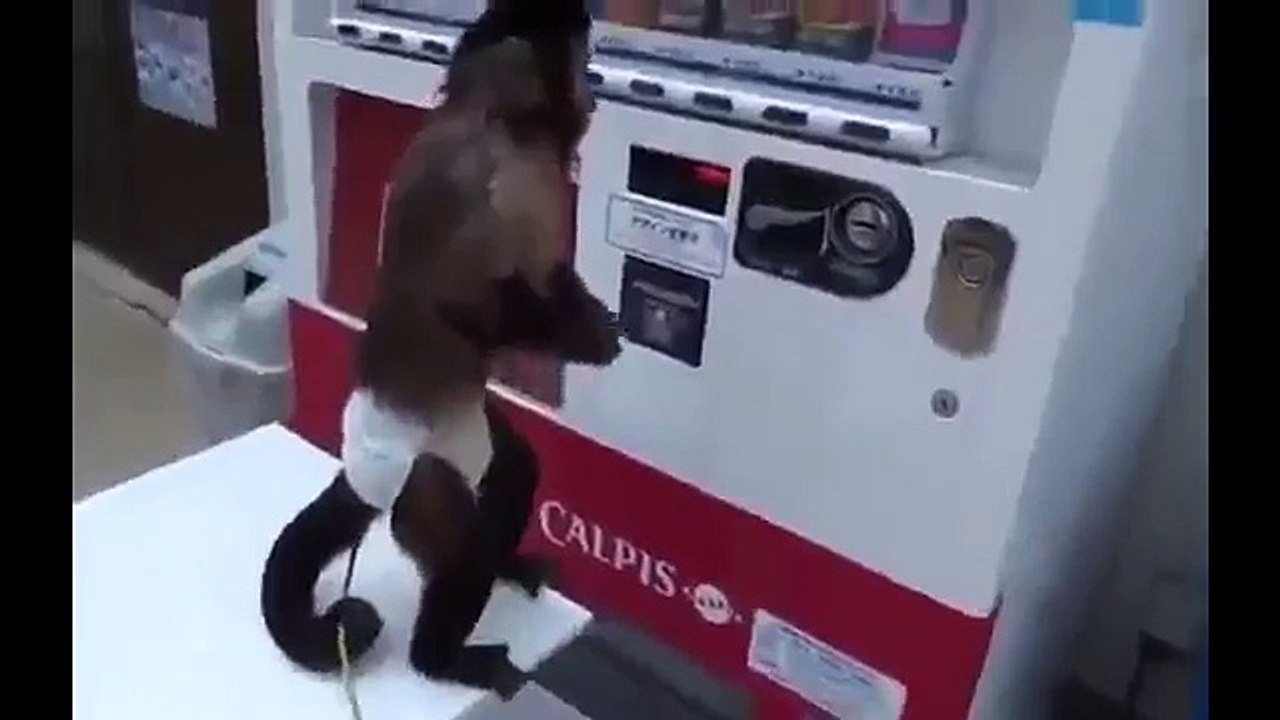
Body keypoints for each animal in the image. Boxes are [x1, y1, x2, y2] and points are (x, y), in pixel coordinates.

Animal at [259, 1, 618, 699]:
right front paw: (588, 337)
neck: (494, 115)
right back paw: (445, 658)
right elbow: (470, 310)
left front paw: (592, 321)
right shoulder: (502, 186)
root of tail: (360, 472)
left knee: (513, 472)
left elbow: (551, 280)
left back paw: (508, 563)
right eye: (581, 61)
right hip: (421, 485)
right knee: (463, 547)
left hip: (471, 437)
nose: (593, 88)